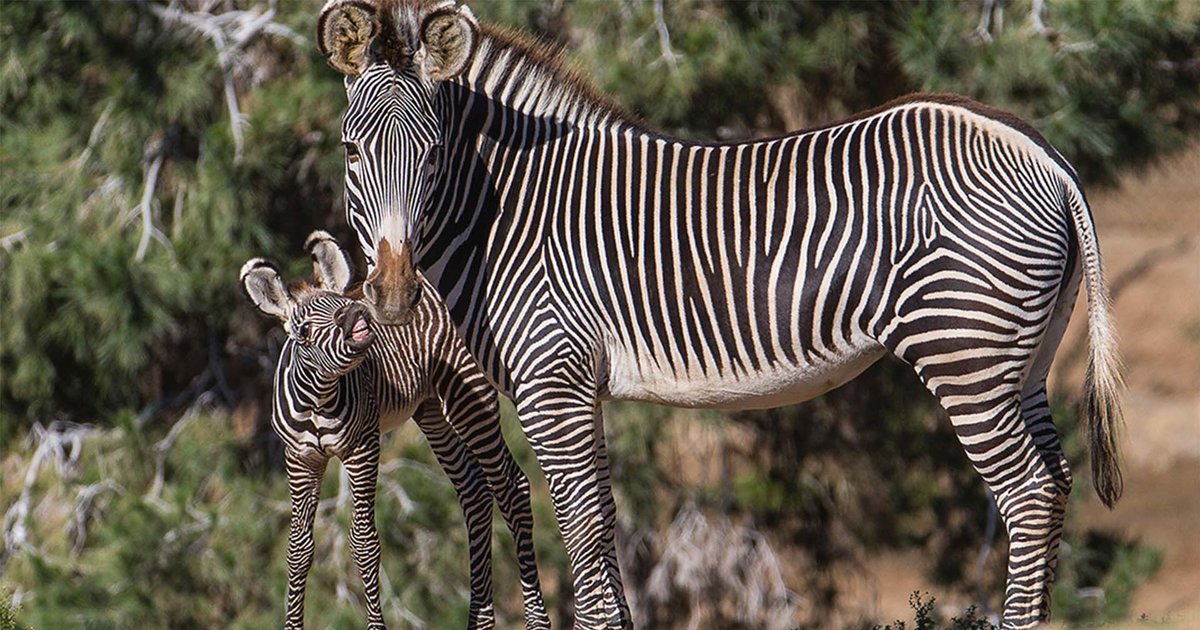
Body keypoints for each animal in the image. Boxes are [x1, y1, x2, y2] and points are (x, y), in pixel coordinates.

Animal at [240, 231, 549, 629]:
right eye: (303, 330)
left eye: (342, 304)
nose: (356, 316)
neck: (319, 400)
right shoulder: (300, 459)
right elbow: (299, 547)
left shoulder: (363, 447)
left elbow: (364, 542)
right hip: (431, 412)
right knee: (475, 494)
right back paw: (478, 620)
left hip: (470, 396)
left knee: (511, 486)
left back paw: (536, 619)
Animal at [314, 1, 1124, 628]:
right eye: (352, 153)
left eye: (433, 155)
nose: (392, 294)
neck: (504, 212)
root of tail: (1044, 152)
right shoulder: (582, 390)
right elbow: (605, 533)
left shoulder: (553, 385)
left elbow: (584, 538)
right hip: (1023, 361)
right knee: (1055, 485)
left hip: (964, 353)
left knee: (1026, 495)